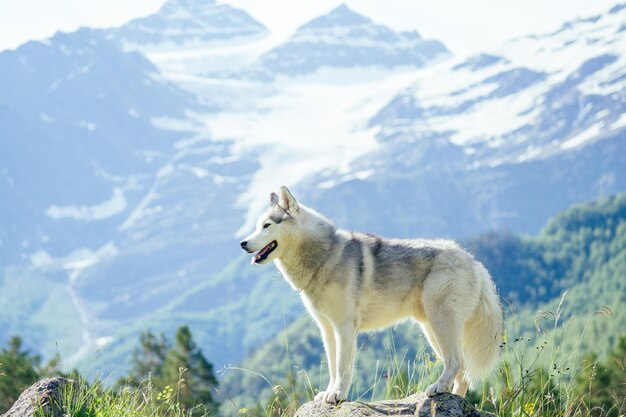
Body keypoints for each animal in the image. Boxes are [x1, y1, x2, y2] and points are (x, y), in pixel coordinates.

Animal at [239, 186, 502, 404]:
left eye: (267, 225)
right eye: (256, 226)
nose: (242, 243)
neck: (323, 257)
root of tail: (473, 261)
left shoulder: (344, 327)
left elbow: (343, 367)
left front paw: (338, 395)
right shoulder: (327, 329)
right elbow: (333, 367)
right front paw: (329, 393)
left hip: (440, 324)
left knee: (456, 361)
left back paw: (437, 388)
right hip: (431, 329)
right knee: (461, 370)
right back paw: (453, 397)